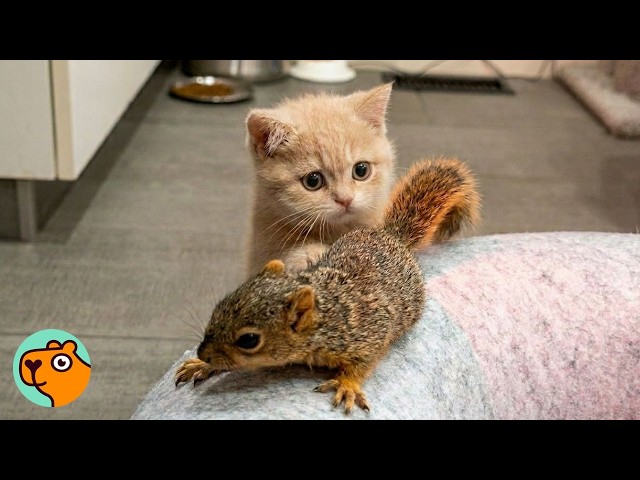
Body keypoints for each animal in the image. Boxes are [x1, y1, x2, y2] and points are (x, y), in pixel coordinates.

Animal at [175, 157, 481, 414]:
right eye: (219, 307)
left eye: (249, 340)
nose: (203, 352)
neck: (324, 317)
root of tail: (389, 236)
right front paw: (202, 365)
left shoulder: (368, 333)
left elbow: (363, 363)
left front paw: (347, 385)